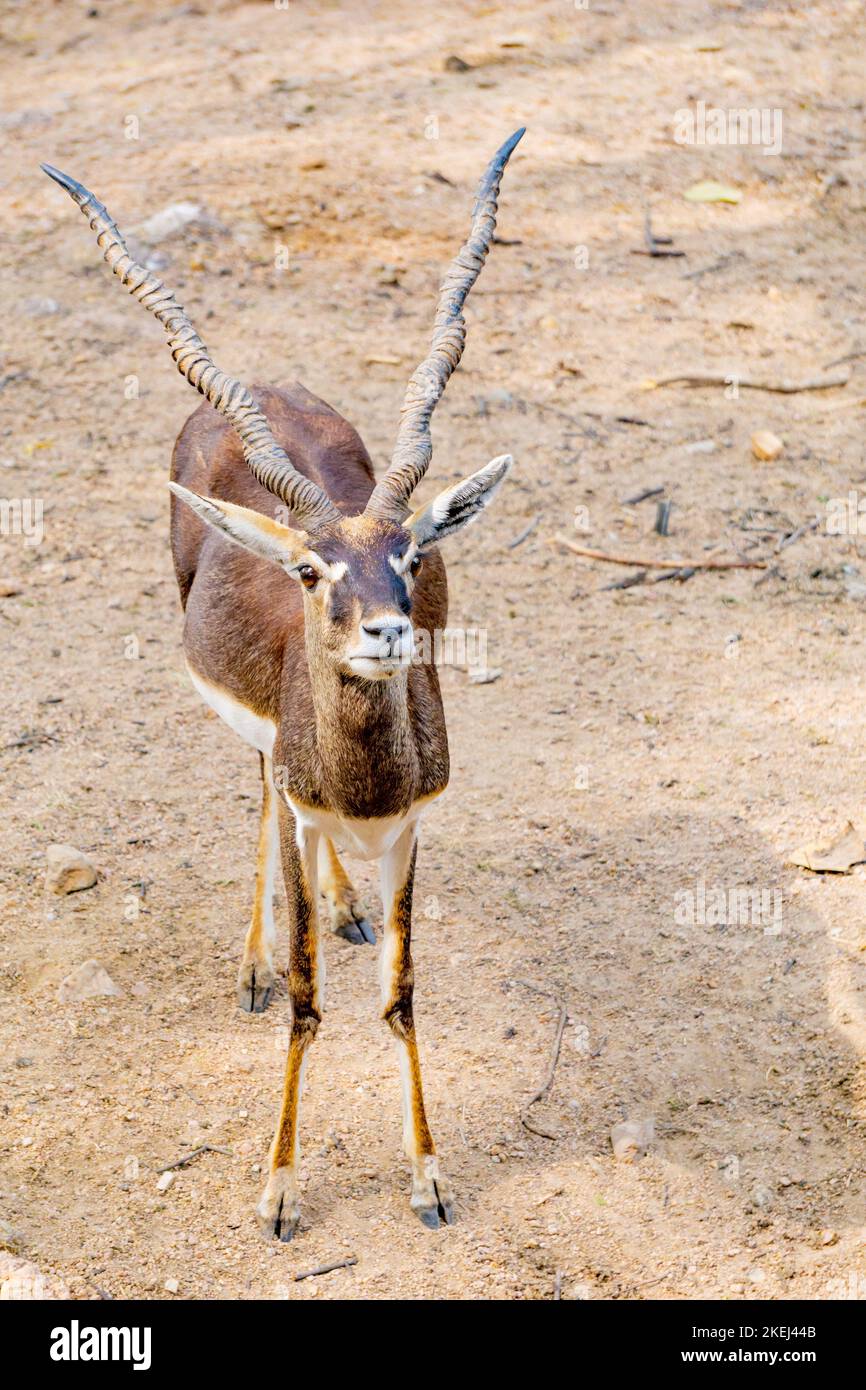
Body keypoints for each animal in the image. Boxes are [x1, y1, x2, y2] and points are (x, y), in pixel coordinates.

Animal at [42, 127, 523, 1239]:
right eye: (310, 572)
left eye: (412, 552)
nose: (388, 629)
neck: (360, 789)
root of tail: (262, 383)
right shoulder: (309, 806)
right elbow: (309, 998)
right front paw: (277, 1188)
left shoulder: (412, 824)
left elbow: (399, 992)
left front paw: (428, 1178)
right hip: (256, 746)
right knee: (260, 793)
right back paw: (253, 962)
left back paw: (343, 906)